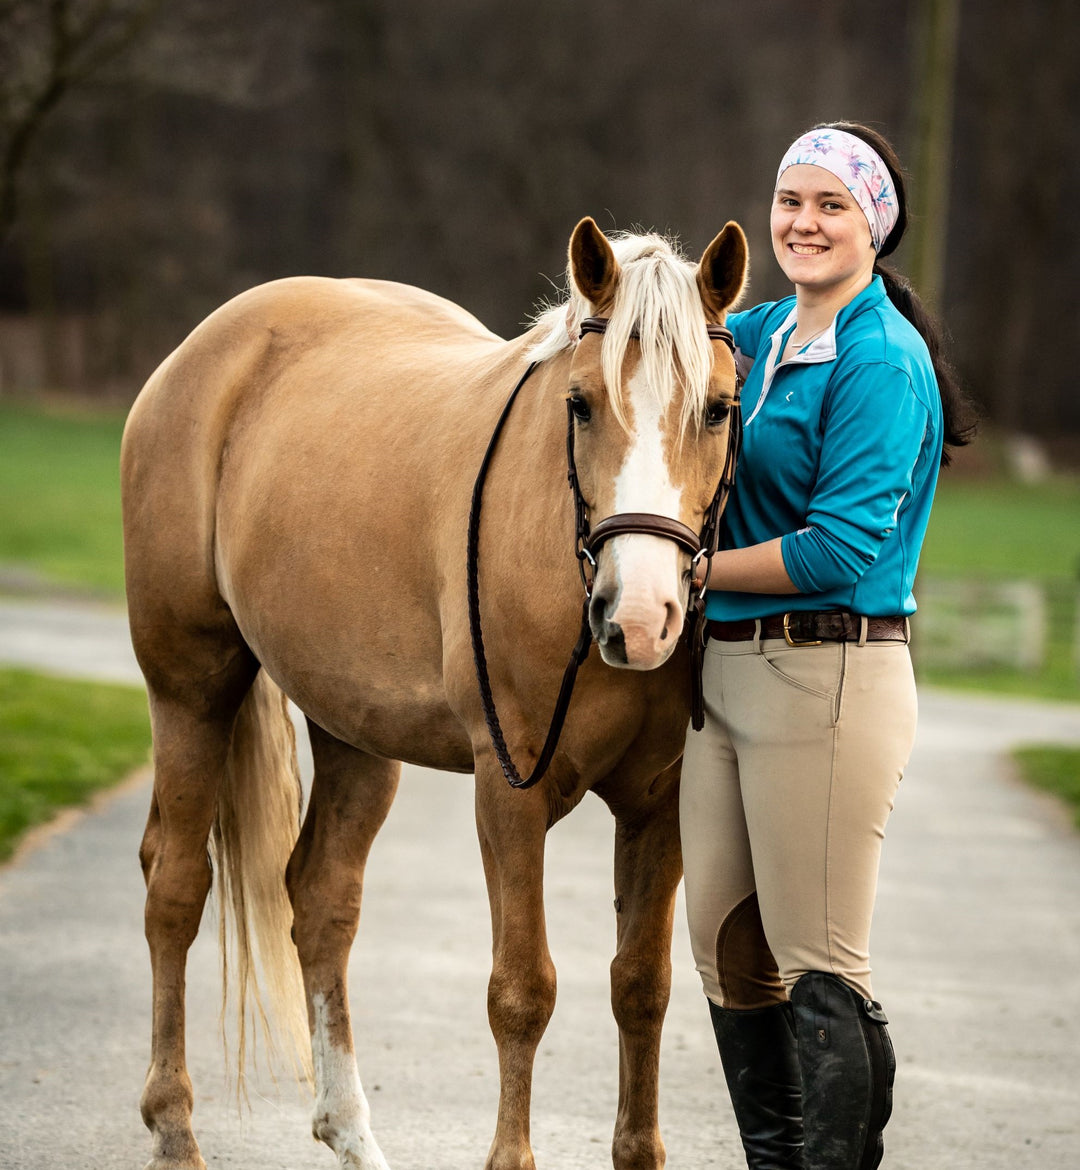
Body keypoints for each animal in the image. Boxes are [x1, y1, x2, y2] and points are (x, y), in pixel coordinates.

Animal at [116, 212, 744, 1170]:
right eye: (581, 404)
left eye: (715, 409)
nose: (638, 616)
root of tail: (208, 346)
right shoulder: (509, 795)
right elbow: (522, 990)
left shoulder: (656, 804)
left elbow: (642, 986)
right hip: (190, 686)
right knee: (177, 887)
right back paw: (176, 1124)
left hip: (355, 731)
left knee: (321, 901)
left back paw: (349, 1131)